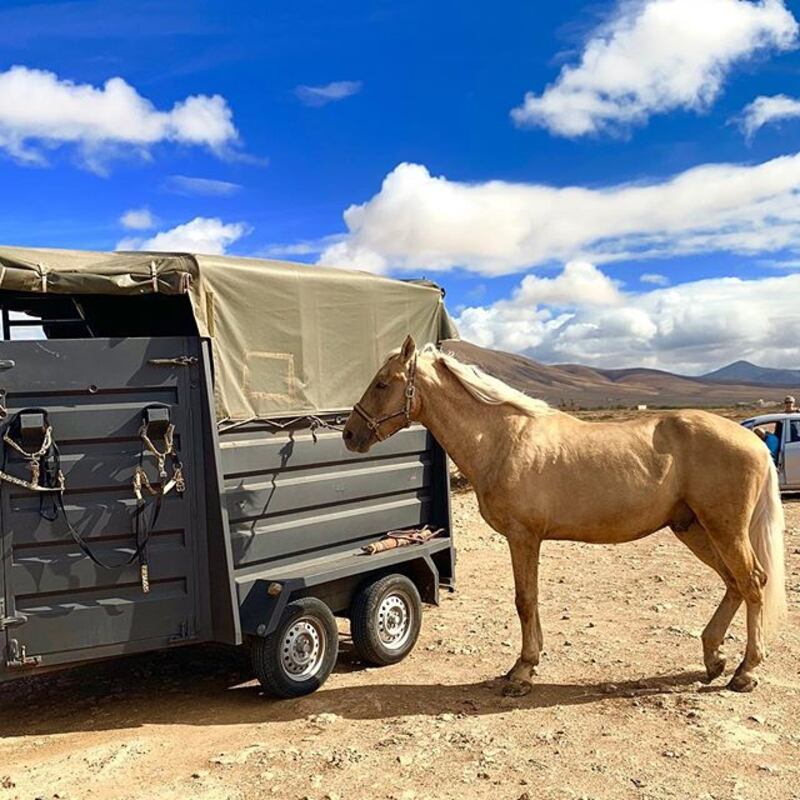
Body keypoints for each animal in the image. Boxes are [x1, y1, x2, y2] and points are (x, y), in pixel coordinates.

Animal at [342, 336, 786, 696]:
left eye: (382, 383)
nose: (349, 434)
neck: (503, 439)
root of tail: (753, 438)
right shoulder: (528, 539)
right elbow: (531, 600)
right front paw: (527, 665)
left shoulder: (523, 536)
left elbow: (525, 600)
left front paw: (522, 673)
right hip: (693, 529)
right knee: (735, 583)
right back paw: (714, 659)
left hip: (724, 529)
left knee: (752, 583)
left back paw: (745, 672)